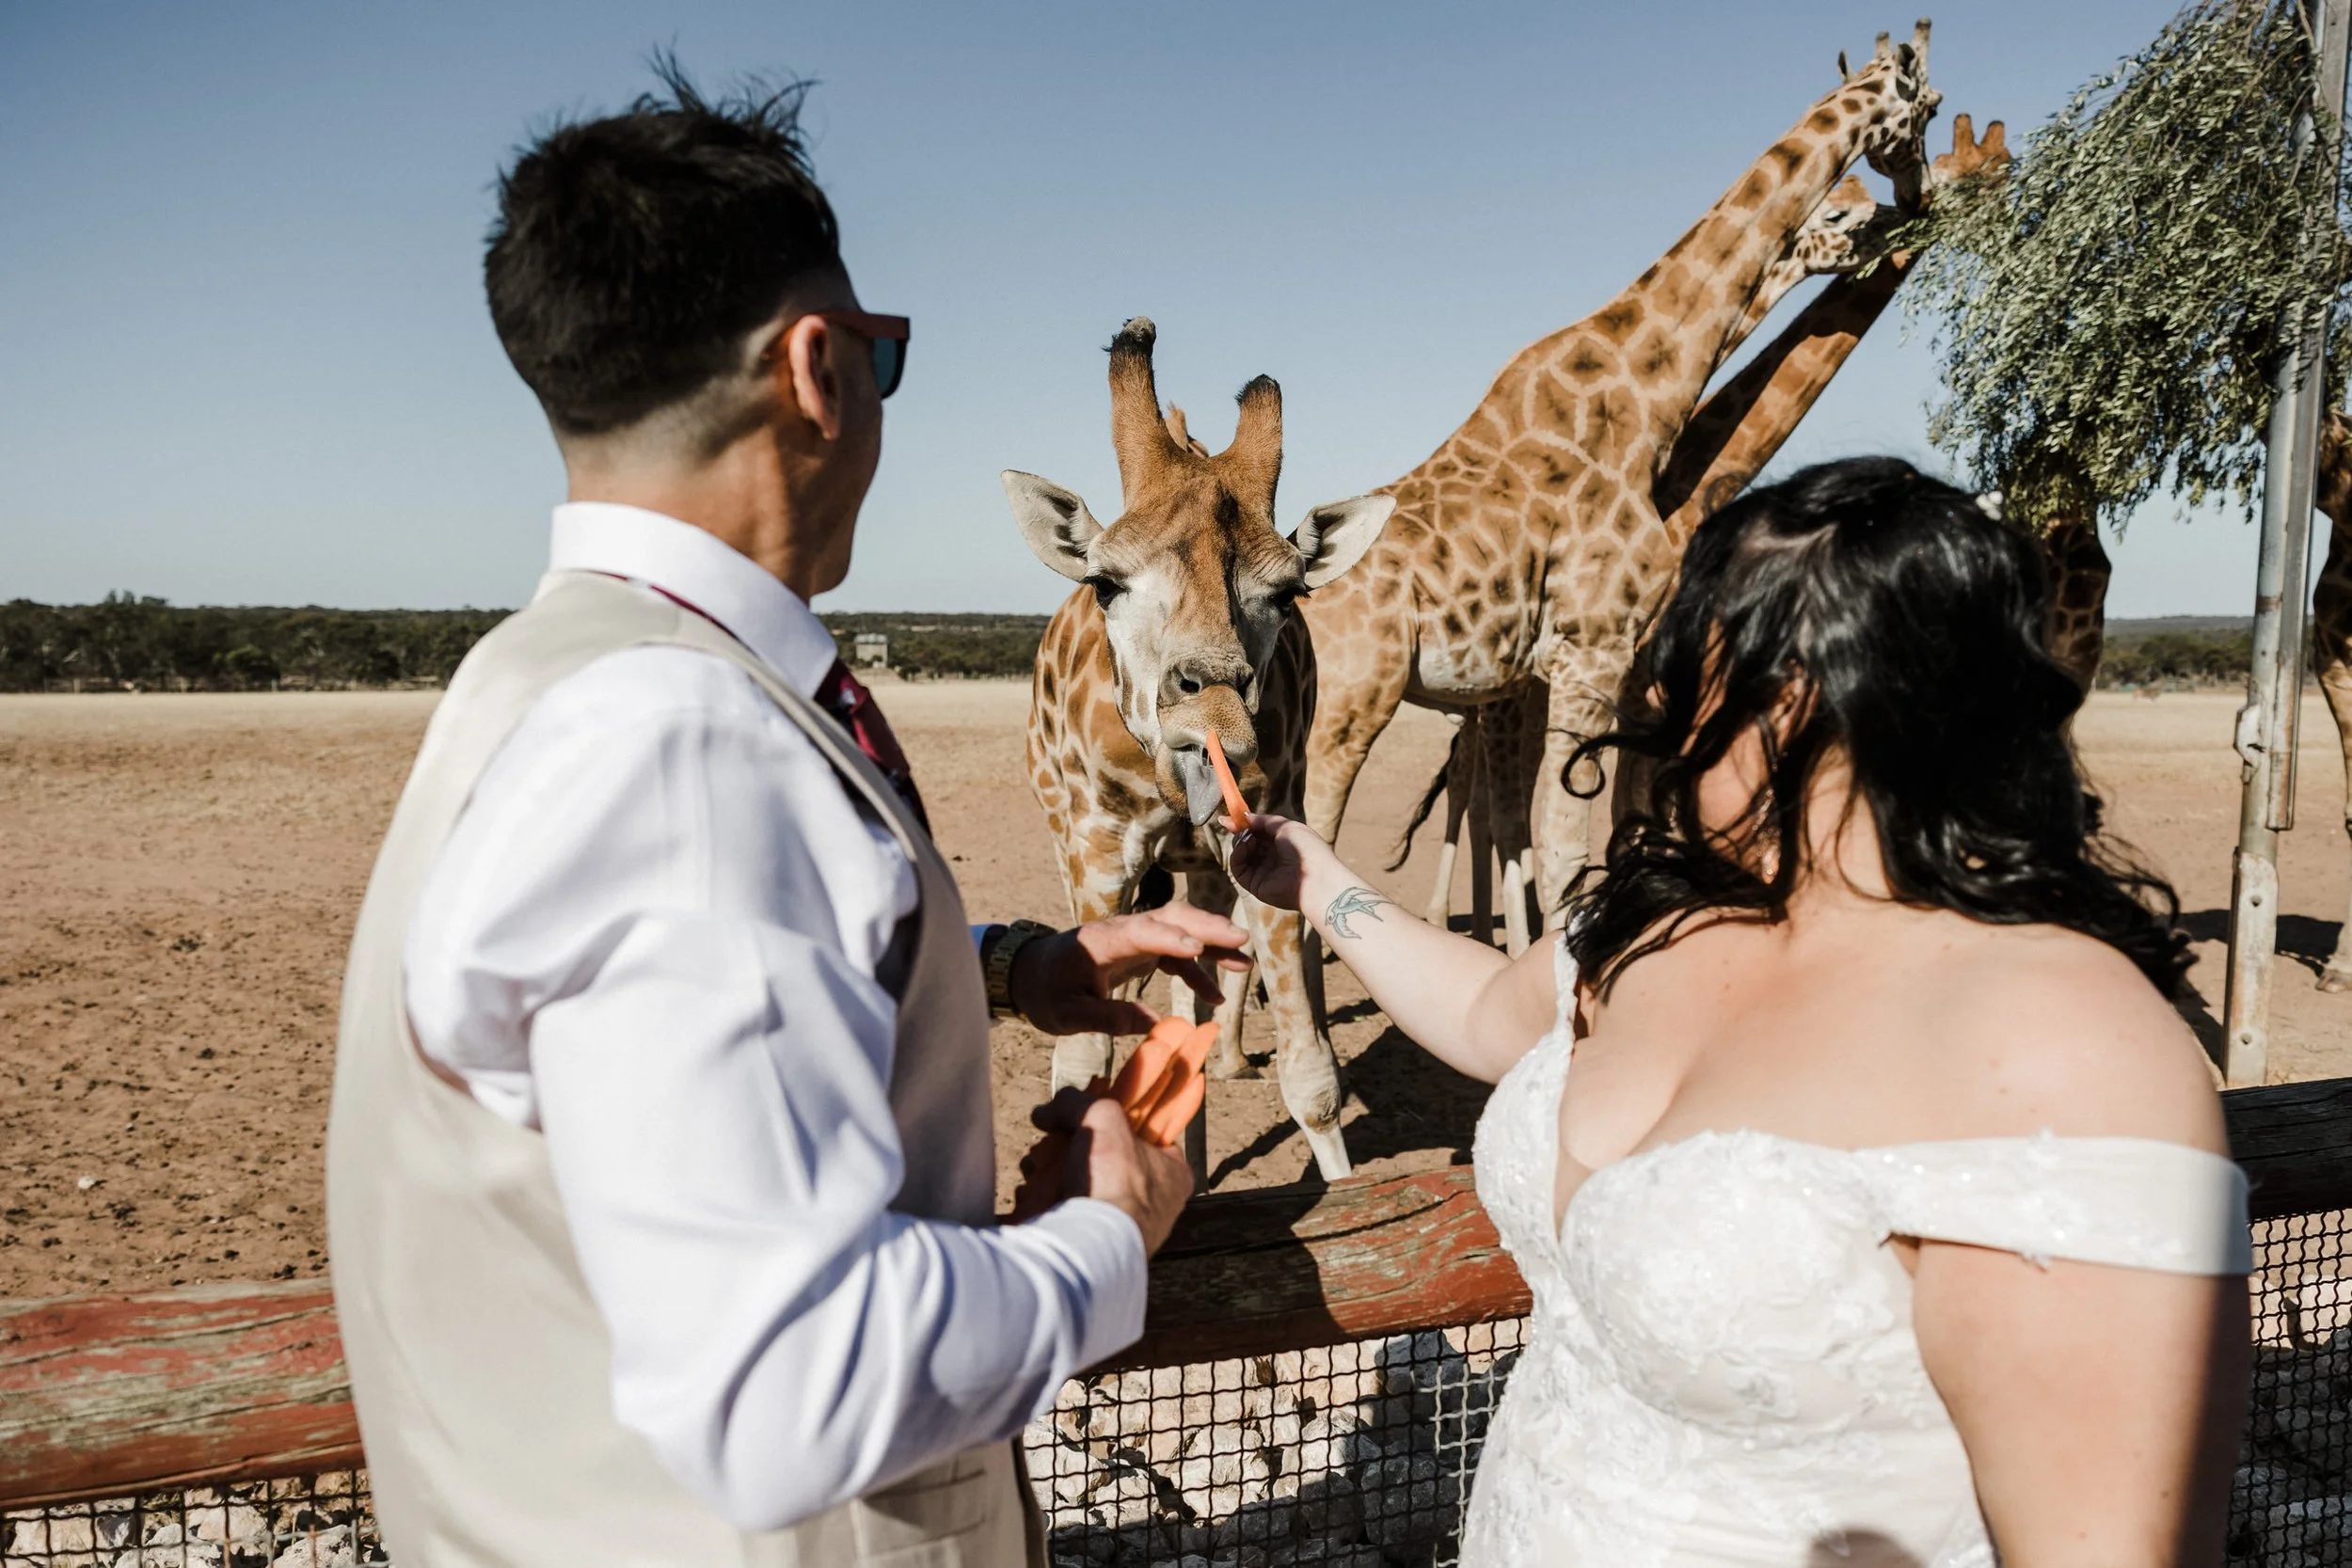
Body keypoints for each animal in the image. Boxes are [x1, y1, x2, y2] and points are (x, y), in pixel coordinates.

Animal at [1007, 319, 1395, 1179]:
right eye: (1106, 583)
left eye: (1287, 592)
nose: (1214, 719)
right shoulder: (1099, 855)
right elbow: (1080, 1065)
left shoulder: (1265, 837)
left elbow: (1313, 1077)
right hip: (1067, 839)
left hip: (1205, 874)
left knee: (1196, 1000)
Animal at [1294, 24, 1941, 938]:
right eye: (1930, 109)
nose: (1912, 204)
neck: (1647, 405)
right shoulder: (1597, 657)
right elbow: (1572, 846)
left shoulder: (1586, 675)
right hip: (1349, 709)